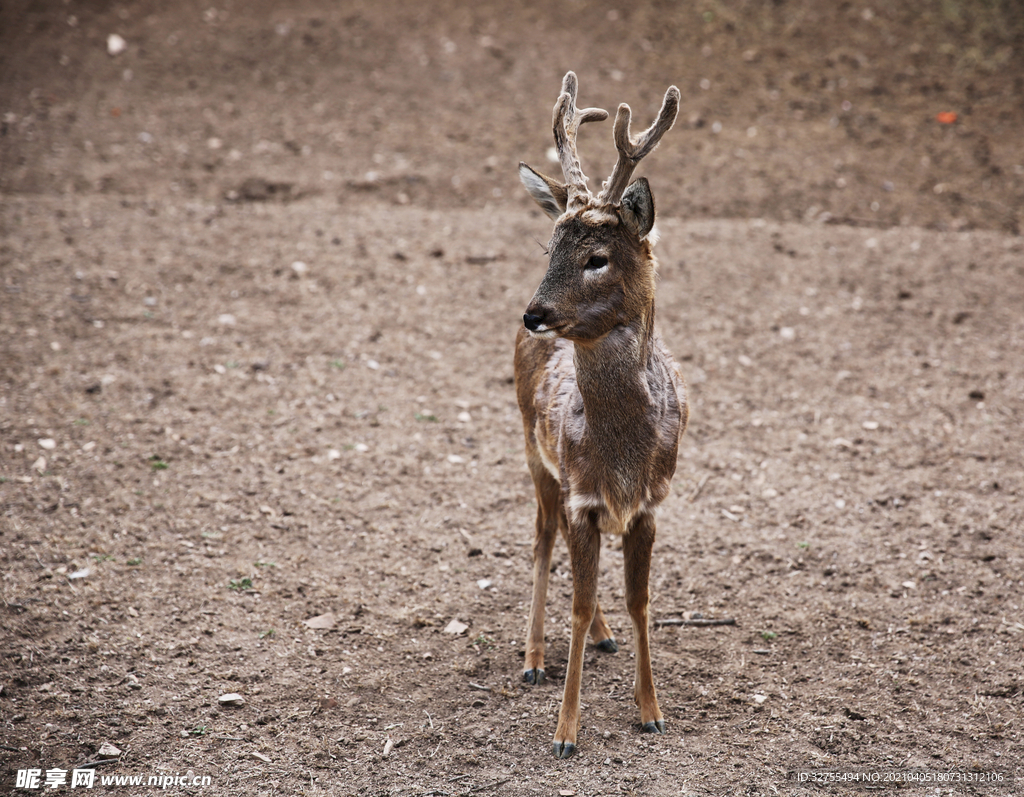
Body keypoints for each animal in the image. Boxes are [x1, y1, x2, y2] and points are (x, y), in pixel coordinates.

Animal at [514, 72, 687, 759]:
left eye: (597, 257)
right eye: (550, 248)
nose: (533, 313)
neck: (620, 453)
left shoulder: (648, 501)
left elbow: (641, 602)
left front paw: (652, 711)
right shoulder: (582, 490)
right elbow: (579, 604)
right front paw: (565, 731)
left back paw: (603, 639)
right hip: (534, 452)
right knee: (542, 537)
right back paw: (534, 657)